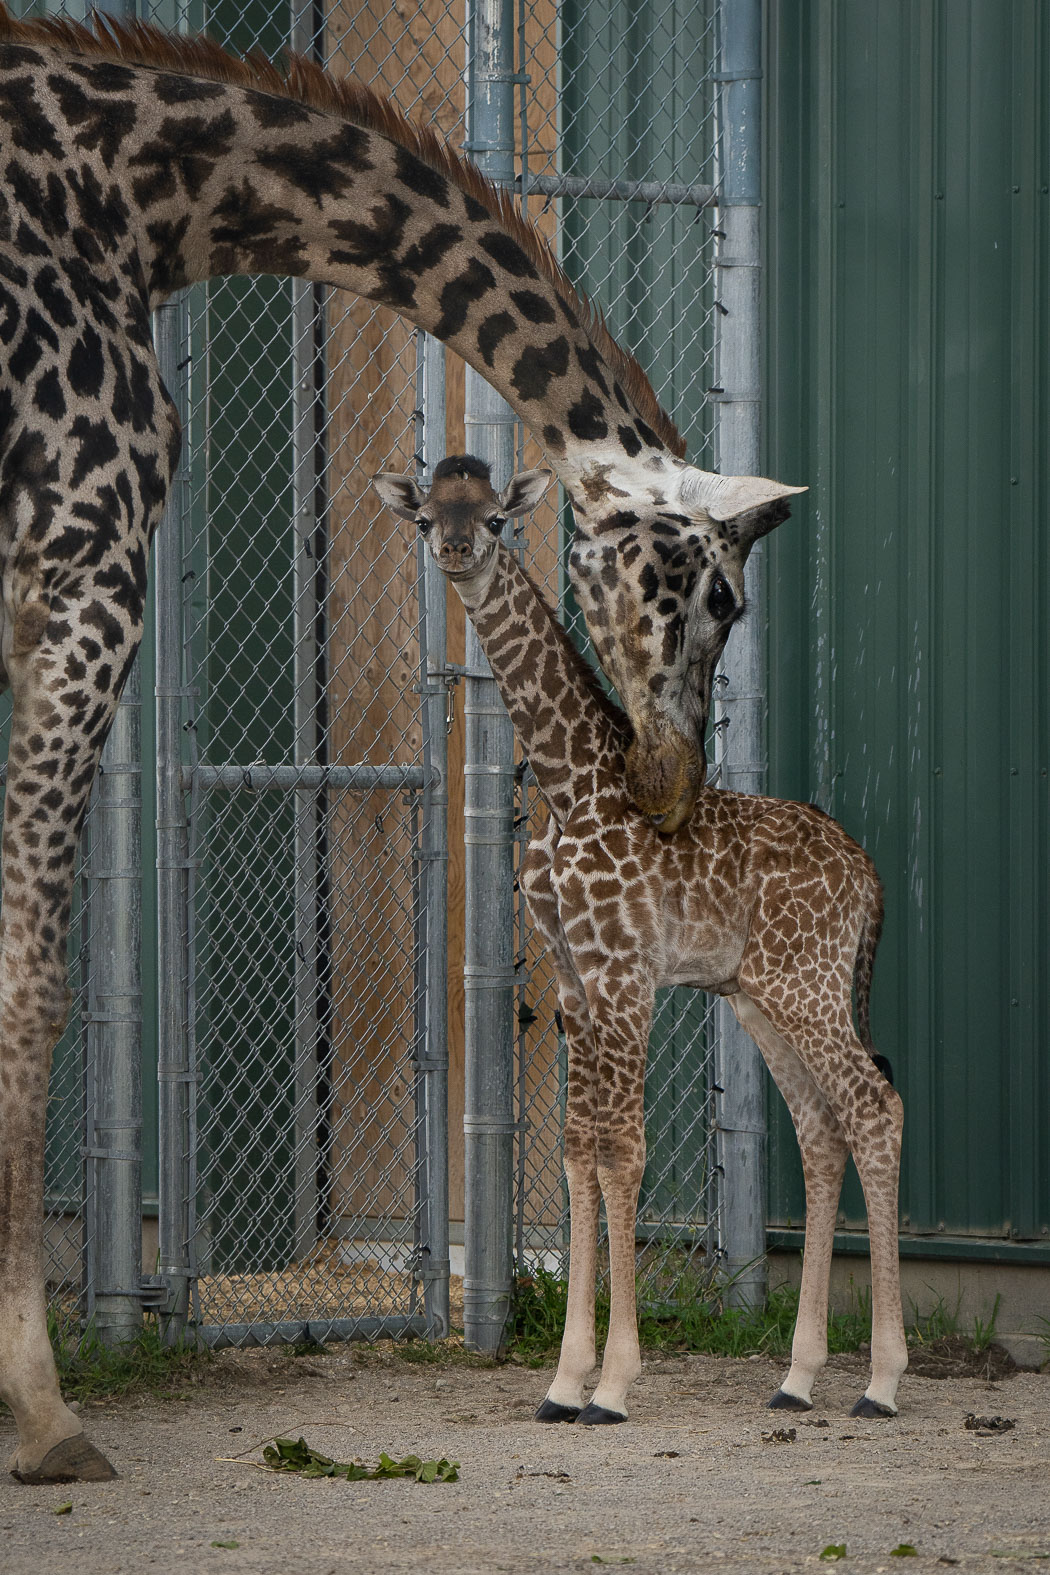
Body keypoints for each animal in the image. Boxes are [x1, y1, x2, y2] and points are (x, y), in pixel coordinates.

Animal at [0, 9, 799, 1474]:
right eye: (720, 593)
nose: (668, 790)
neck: (145, 194)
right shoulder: (84, 552)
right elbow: (34, 981)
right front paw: (42, 1406)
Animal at [373, 456, 906, 1430]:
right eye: (428, 515)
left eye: (496, 519)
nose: (456, 550)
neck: (568, 781)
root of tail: (868, 874)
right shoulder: (574, 979)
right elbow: (580, 1146)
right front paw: (562, 1380)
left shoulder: (625, 974)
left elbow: (624, 1148)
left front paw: (613, 1385)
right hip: (763, 994)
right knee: (823, 1127)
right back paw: (797, 1376)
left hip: (807, 985)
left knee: (874, 1105)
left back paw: (882, 1382)